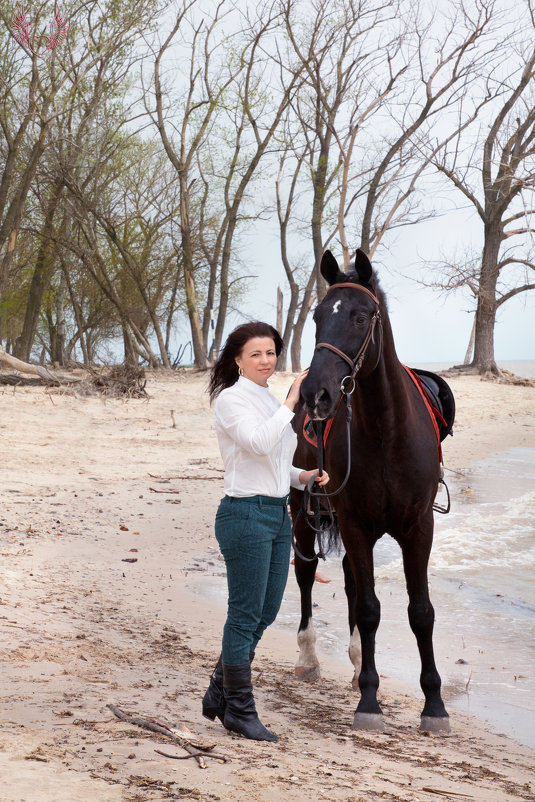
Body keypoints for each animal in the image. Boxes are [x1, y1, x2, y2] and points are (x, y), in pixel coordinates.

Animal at [292, 250, 454, 732]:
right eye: (317, 316)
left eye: (361, 317)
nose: (316, 394)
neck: (387, 430)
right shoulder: (356, 524)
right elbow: (368, 609)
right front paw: (369, 701)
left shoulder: (417, 528)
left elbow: (421, 612)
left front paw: (434, 706)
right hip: (301, 509)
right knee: (305, 572)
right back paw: (309, 658)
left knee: (347, 580)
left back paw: (357, 661)